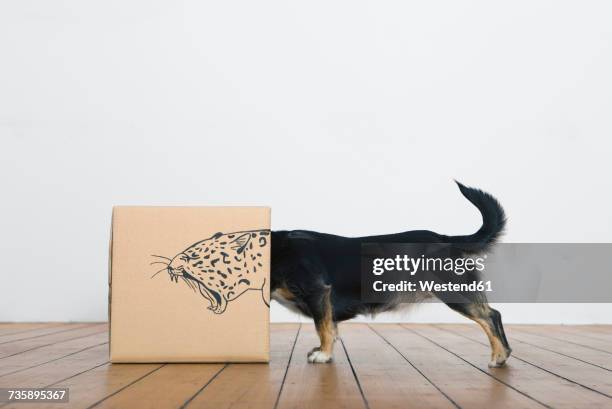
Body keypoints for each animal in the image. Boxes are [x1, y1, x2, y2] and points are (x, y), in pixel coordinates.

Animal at [272, 182, 512, 366]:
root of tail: (445, 239)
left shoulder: (318, 293)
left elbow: (323, 328)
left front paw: (323, 354)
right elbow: (331, 328)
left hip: (454, 291)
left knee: (491, 316)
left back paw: (499, 356)